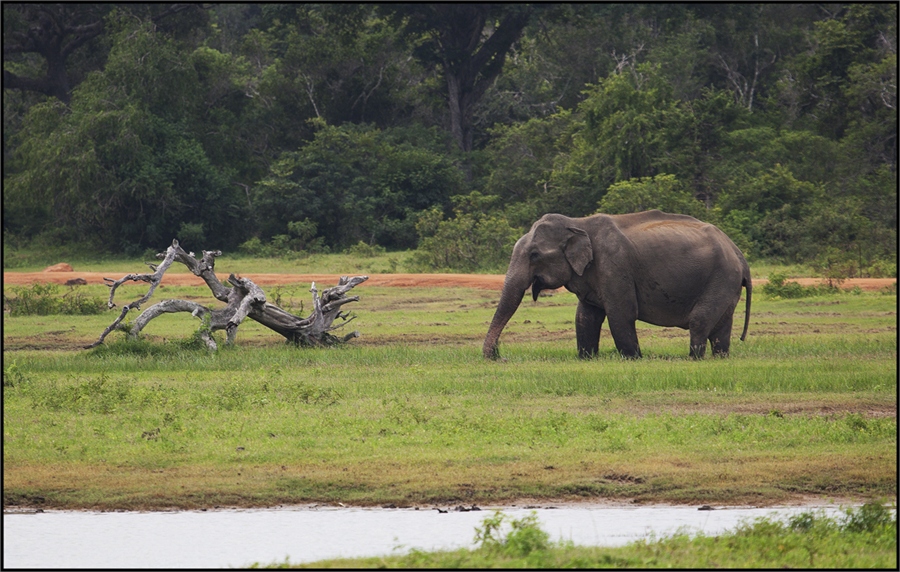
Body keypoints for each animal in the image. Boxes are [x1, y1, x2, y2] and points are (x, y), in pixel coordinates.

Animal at [486, 210, 752, 360]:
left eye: (534, 255)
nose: (499, 356)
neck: (577, 223)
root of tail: (739, 254)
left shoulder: (615, 266)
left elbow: (621, 314)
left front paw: (634, 359)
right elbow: (585, 317)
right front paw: (586, 358)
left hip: (722, 278)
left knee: (699, 321)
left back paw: (694, 359)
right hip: (726, 284)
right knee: (720, 328)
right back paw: (720, 357)